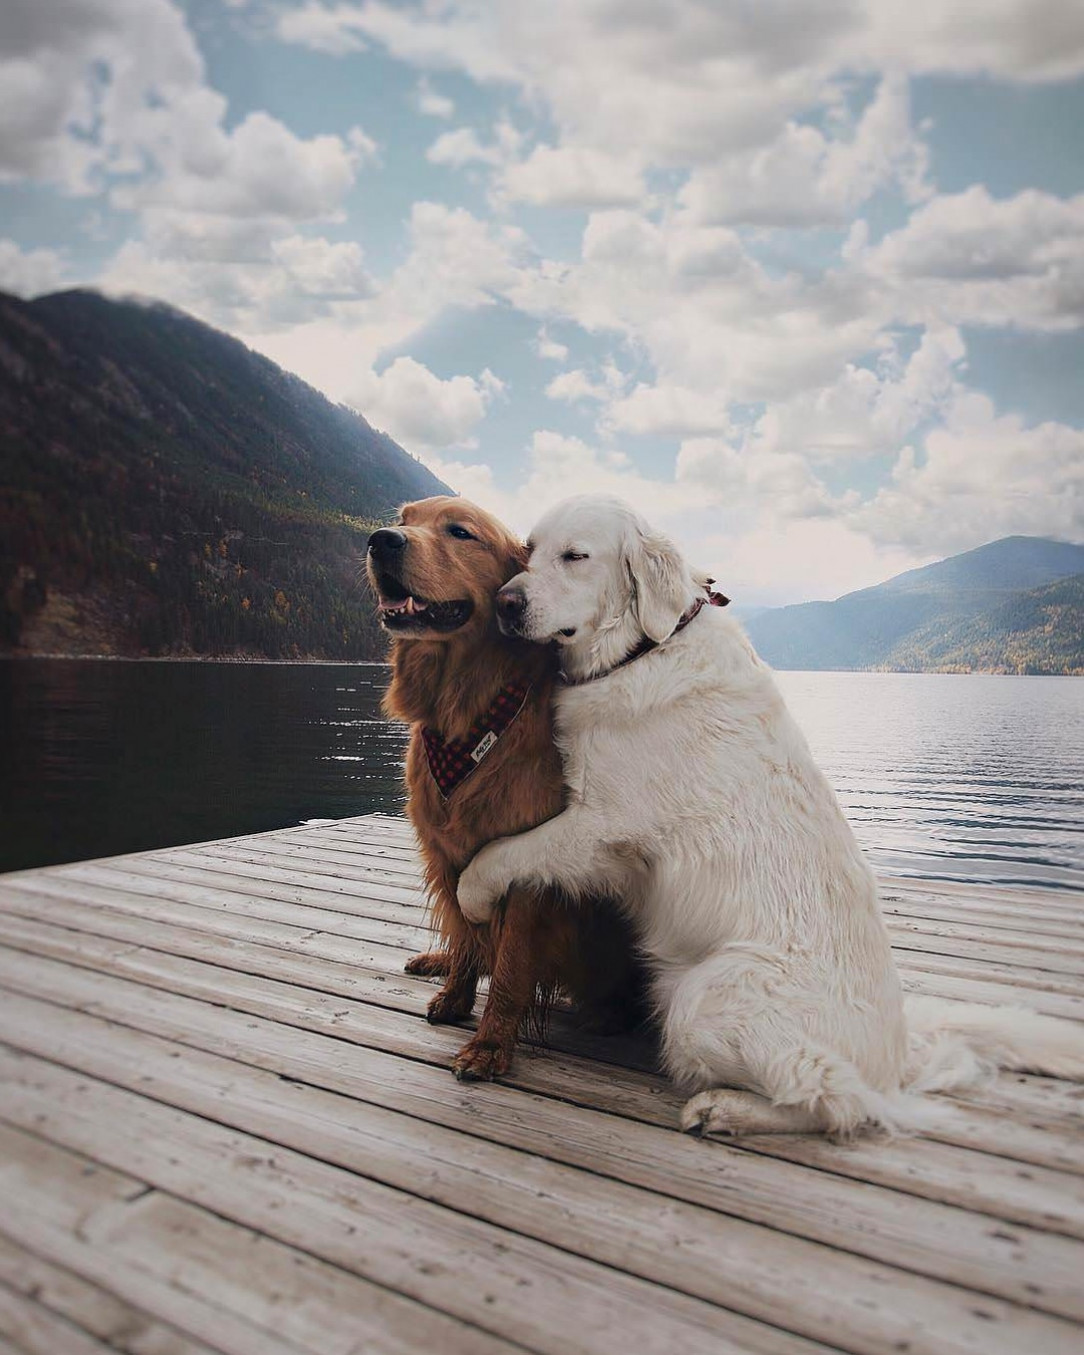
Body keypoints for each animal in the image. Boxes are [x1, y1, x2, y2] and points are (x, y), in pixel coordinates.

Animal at [368, 493, 647, 1073]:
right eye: (404, 520)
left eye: (460, 532)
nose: (381, 540)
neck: (464, 717)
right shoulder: (447, 855)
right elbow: (466, 933)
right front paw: (455, 995)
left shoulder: (524, 870)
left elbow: (513, 963)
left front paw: (492, 1044)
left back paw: (607, 1013)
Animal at [457, 495, 1084, 1132]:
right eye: (530, 551)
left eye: (575, 556)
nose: (506, 603)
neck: (644, 650)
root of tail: (895, 1057)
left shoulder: (601, 827)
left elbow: (498, 855)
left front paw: (473, 901)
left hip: (702, 998)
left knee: (837, 1101)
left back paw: (722, 1109)